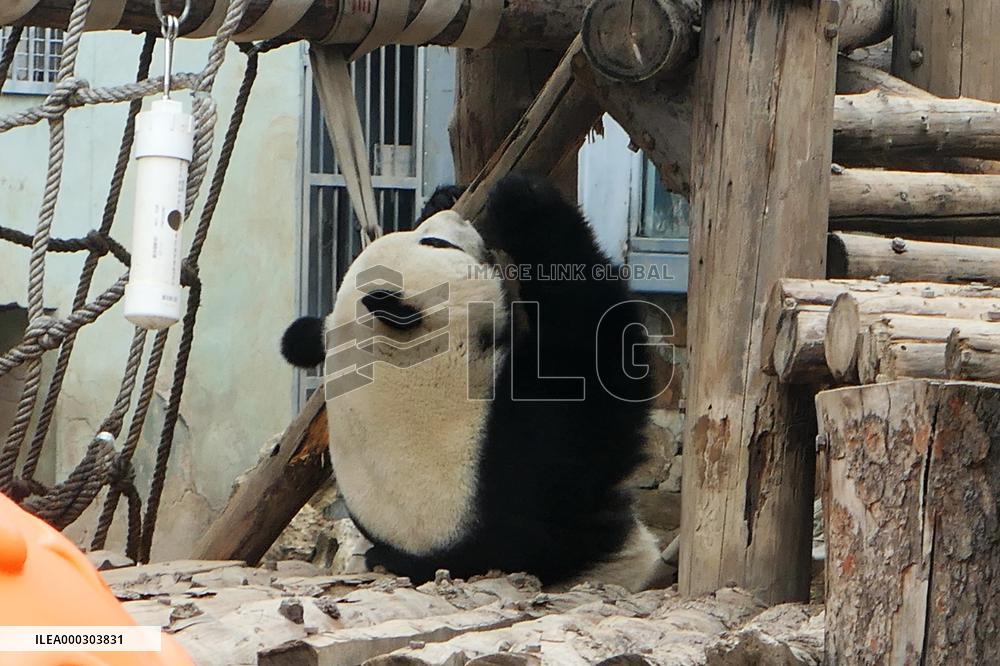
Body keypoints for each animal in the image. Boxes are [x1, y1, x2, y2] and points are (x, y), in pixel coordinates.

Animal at [282, 173, 664, 592]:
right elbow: (595, 350)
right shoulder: (525, 453)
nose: (456, 217)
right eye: (435, 243)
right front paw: (522, 201)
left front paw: (443, 196)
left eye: (426, 235)